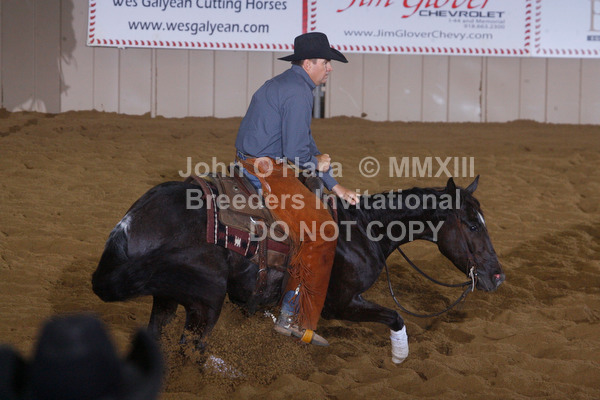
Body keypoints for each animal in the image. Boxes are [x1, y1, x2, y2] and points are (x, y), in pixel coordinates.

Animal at [92, 174, 504, 364]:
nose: (497, 276)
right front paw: (400, 356)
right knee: (190, 349)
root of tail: (130, 222)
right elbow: (394, 316)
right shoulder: (341, 303)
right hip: (205, 303)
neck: (361, 229)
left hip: (165, 298)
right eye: (472, 224)